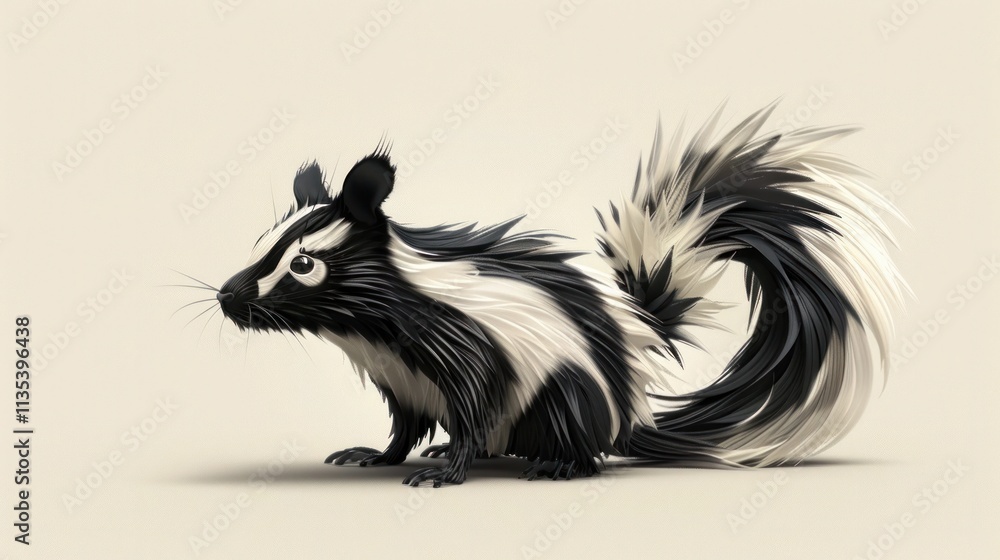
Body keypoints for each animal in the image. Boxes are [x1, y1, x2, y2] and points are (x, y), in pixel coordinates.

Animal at [210, 105, 906, 487]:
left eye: (303, 264)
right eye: (261, 245)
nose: (227, 297)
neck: (372, 324)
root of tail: (630, 408)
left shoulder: (461, 344)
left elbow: (474, 403)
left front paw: (444, 471)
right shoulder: (398, 376)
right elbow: (403, 425)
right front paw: (377, 455)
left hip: (565, 386)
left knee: (567, 431)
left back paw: (558, 465)